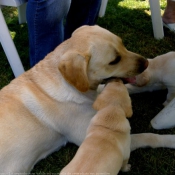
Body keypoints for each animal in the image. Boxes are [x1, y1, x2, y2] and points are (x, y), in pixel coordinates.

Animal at [0, 25, 175, 173]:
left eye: (123, 44)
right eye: (114, 60)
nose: (146, 63)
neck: (72, 86)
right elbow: (149, 136)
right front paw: (171, 140)